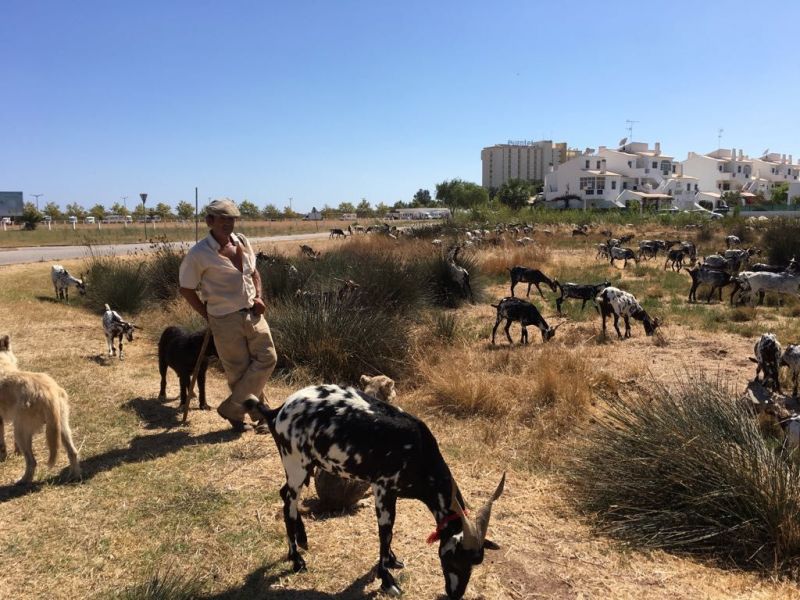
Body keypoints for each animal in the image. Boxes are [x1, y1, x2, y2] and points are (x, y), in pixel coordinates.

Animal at [247, 386, 504, 596]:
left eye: (476, 561)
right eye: (455, 559)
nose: (455, 594)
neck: (419, 451)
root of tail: (276, 412)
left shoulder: (394, 493)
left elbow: (391, 530)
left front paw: (391, 561)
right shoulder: (382, 488)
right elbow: (385, 532)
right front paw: (387, 580)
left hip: (305, 465)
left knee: (284, 495)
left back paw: (301, 541)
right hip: (295, 463)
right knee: (288, 506)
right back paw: (297, 560)